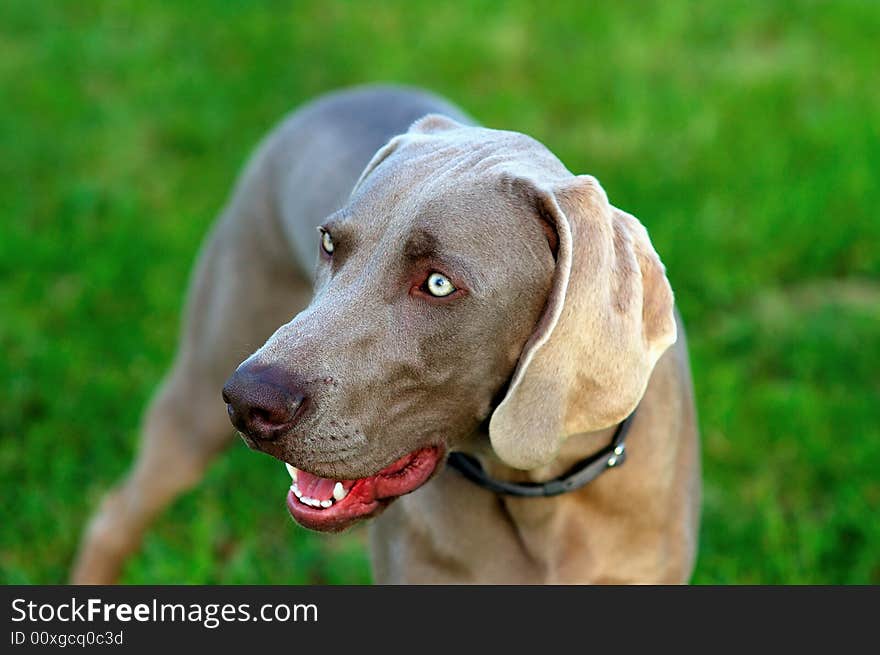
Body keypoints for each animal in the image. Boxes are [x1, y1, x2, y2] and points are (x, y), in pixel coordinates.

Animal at [70, 83, 700, 584]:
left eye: (439, 284)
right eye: (329, 242)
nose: (248, 402)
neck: (539, 498)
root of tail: (343, 93)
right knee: (116, 513)